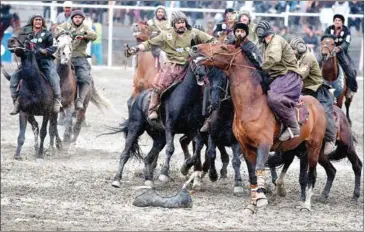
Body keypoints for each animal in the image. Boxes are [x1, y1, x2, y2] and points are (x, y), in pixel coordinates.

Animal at [191, 42, 328, 213]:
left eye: (223, 47)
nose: (195, 48)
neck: (252, 103)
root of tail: (317, 106)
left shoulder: (264, 144)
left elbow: (260, 167)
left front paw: (261, 199)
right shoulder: (245, 146)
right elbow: (252, 174)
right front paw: (252, 203)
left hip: (314, 146)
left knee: (311, 175)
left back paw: (307, 205)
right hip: (300, 147)